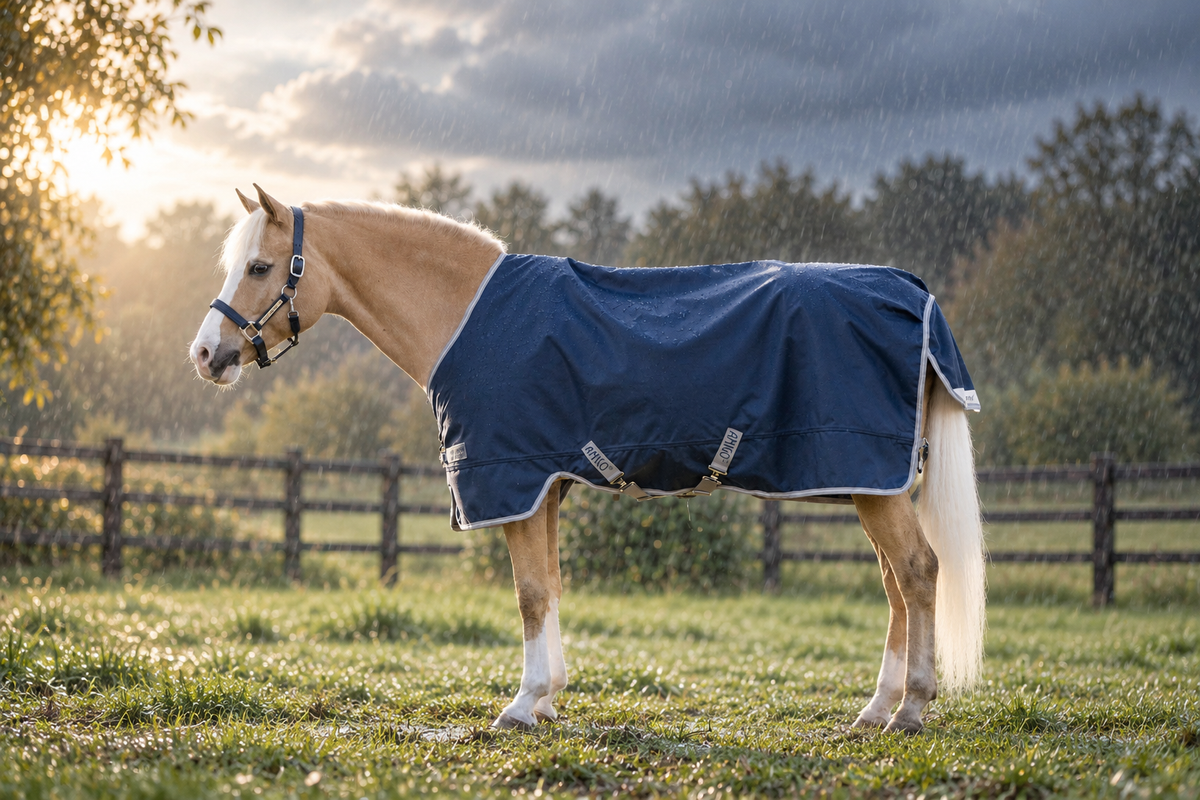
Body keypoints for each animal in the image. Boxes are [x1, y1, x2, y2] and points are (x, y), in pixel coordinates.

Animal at [189, 185, 986, 735]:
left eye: (259, 266)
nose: (205, 354)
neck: (468, 315)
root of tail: (912, 292)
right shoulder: (544, 486)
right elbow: (549, 588)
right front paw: (545, 701)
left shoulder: (513, 480)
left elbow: (529, 593)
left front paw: (521, 706)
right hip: (870, 483)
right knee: (896, 585)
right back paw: (874, 712)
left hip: (873, 482)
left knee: (918, 573)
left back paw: (910, 711)